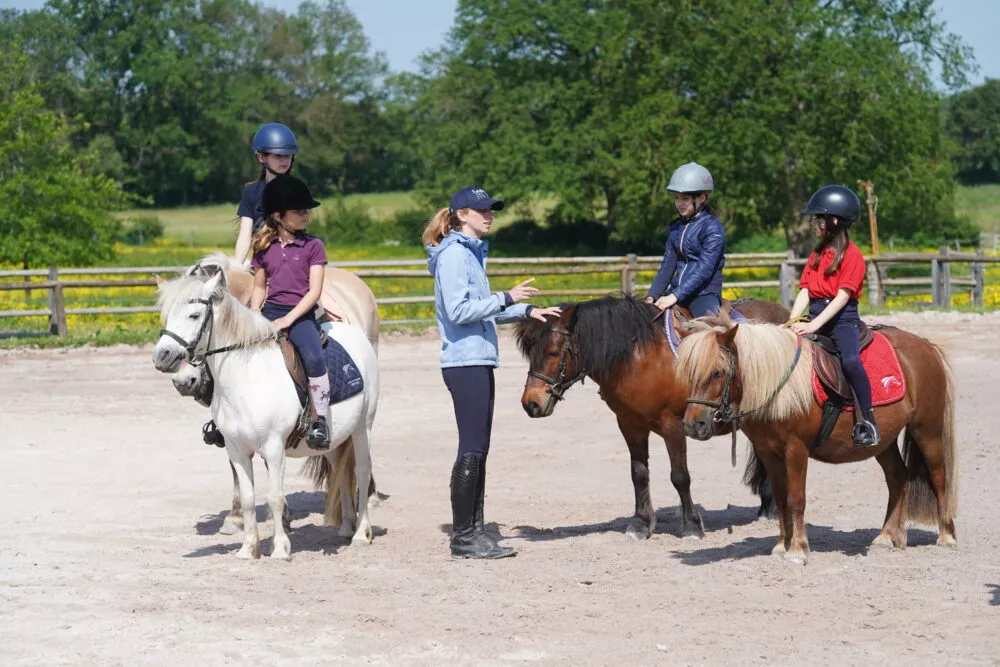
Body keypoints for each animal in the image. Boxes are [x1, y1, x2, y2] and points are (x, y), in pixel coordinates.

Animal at [151, 270, 378, 560]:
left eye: (194, 315)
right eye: (166, 316)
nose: (162, 356)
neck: (247, 377)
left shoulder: (273, 447)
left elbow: (275, 497)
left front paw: (280, 549)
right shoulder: (236, 449)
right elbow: (249, 499)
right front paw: (248, 548)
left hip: (363, 428)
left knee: (361, 471)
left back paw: (361, 533)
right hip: (335, 438)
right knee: (340, 469)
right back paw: (347, 527)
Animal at [516, 298, 788, 544]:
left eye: (552, 352)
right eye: (530, 352)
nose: (531, 403)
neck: (640, 359)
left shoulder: (673, 427)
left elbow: (680, 476)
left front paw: (691, 527)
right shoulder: (630, 425)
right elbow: (639, 474)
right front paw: (640, 524)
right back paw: (767, 507)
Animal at [676, 316, 956, 568]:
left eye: (717, 372)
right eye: (688, 372)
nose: (692, 424)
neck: (778, 387)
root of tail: (926, 345)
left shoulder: (796, 450)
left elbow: (796, 499)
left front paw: (797, 551)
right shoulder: (768, 452)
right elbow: (781, 498)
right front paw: (782, 545)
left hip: (926, 430)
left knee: (939, 476)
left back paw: (946, 535)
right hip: (883, 442)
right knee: (898, 477)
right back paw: (887, 537)